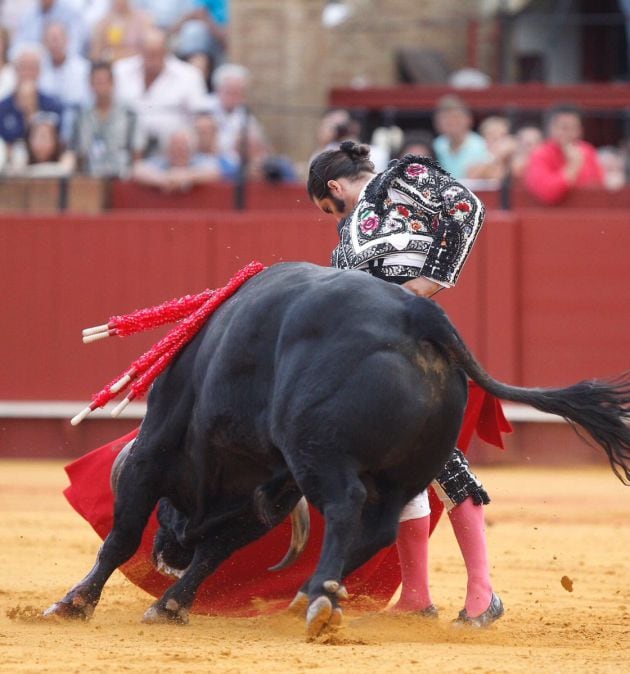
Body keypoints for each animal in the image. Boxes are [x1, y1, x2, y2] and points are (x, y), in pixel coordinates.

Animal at [45, 260, 630, 632]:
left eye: (168, 510)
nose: (167, 555)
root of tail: (421, 316)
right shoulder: (268, 493)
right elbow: (217, 549)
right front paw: (170, 605)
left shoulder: (156, 452)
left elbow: (122, 535)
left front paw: (74, 603)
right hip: (407, 471)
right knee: (386, 525)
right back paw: (317, 594)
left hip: (318, 452)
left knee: (350, 508)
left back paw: (319, 597)